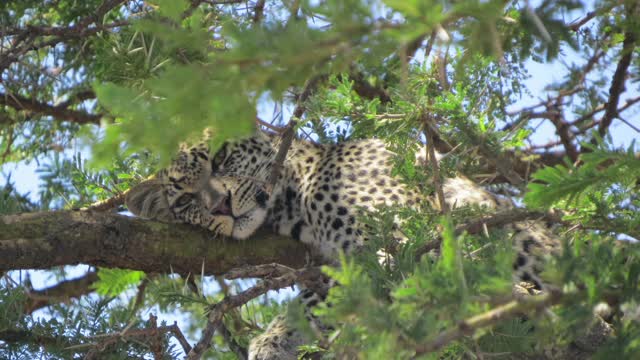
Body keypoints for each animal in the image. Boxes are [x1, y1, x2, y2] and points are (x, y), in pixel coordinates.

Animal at [125, 131, 560, 358]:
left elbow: (335, 293)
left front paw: (269, 340)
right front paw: (277, 340)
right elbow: (324, 293)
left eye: (221, 158)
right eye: (185, 200)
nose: (222, 206)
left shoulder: (405, 240)